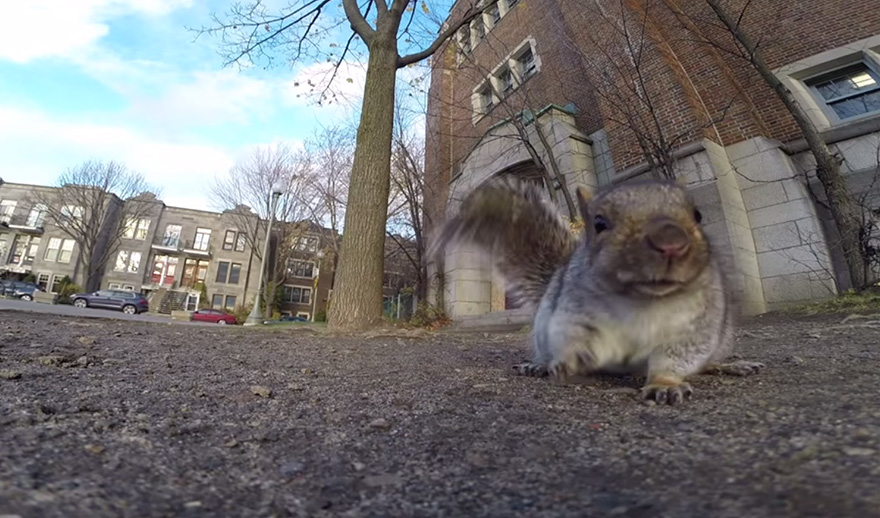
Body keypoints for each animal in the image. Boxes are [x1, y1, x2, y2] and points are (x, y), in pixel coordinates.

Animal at [431, 176, 764, 405]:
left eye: (698, 215)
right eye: (599, 223)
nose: (671, 242)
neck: (644, 301)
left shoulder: (696, 325)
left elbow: (677, 356)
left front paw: (665, 384)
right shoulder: (573, 315)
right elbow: (579, 339)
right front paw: (569, 362)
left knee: (706, 362)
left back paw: (731, 365)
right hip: (542, 327)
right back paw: (538, 364)